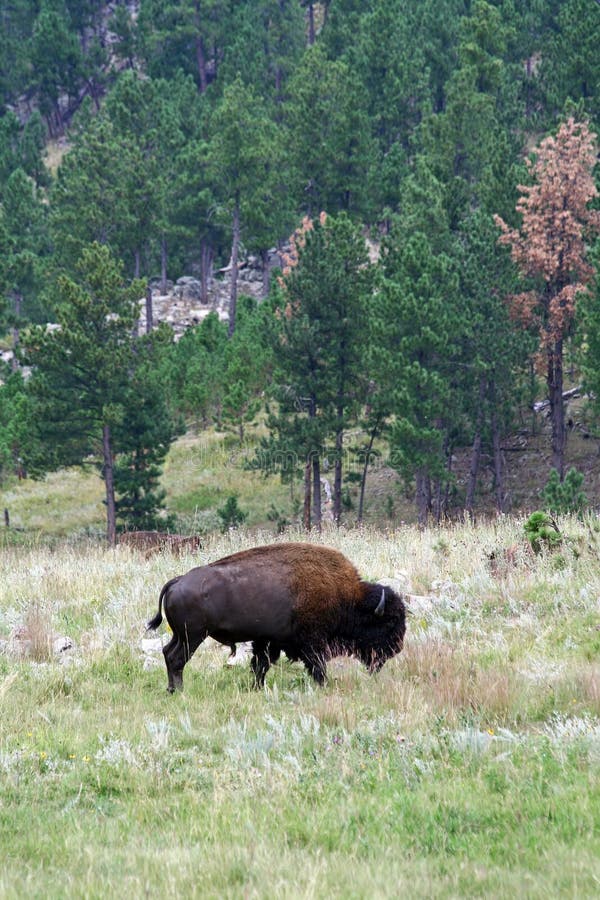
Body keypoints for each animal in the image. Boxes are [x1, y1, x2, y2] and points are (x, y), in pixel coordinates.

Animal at [147, 542, 406, 690]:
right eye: (390, 622)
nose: (397, 648)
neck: (347, 597)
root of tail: (177, 581)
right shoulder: (313, 642)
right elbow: (317, 666)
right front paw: (324, 685)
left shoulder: (265, 641)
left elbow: (260, 665)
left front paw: (257, 687)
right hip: (193, 637)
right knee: (177, 659)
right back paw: (178, 690)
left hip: (181, 636)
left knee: (167, 653)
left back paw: (171, 689)